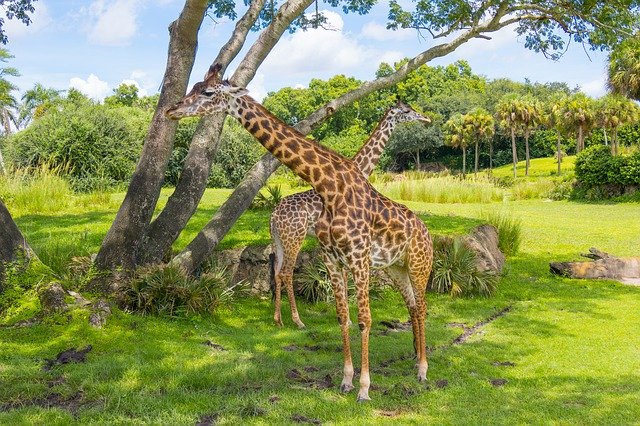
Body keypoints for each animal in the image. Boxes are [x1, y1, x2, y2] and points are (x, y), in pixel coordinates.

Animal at [270, 103, 430, 330]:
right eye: (407, 111)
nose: (425, 118)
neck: (360, 169)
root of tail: (273, 215)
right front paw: (350, 319)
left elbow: (344, 276)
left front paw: (349, 318)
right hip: (295, 237)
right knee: (286, 272)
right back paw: (298, 321)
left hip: (279, 239)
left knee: (276, 272)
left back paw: (278, 320)